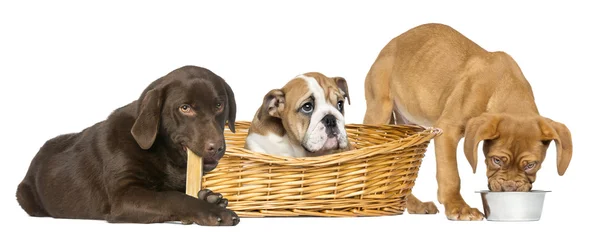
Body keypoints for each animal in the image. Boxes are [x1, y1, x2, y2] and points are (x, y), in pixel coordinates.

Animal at [364, 23, 576, 221]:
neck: (506, 87)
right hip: (379, 108)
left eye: (531, 165)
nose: (509, 187)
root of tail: (390, 45)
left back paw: (414, 205)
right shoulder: (446, 131)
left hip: (409, 124)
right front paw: (458, 207)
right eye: (496, 160)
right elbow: (451, 175)